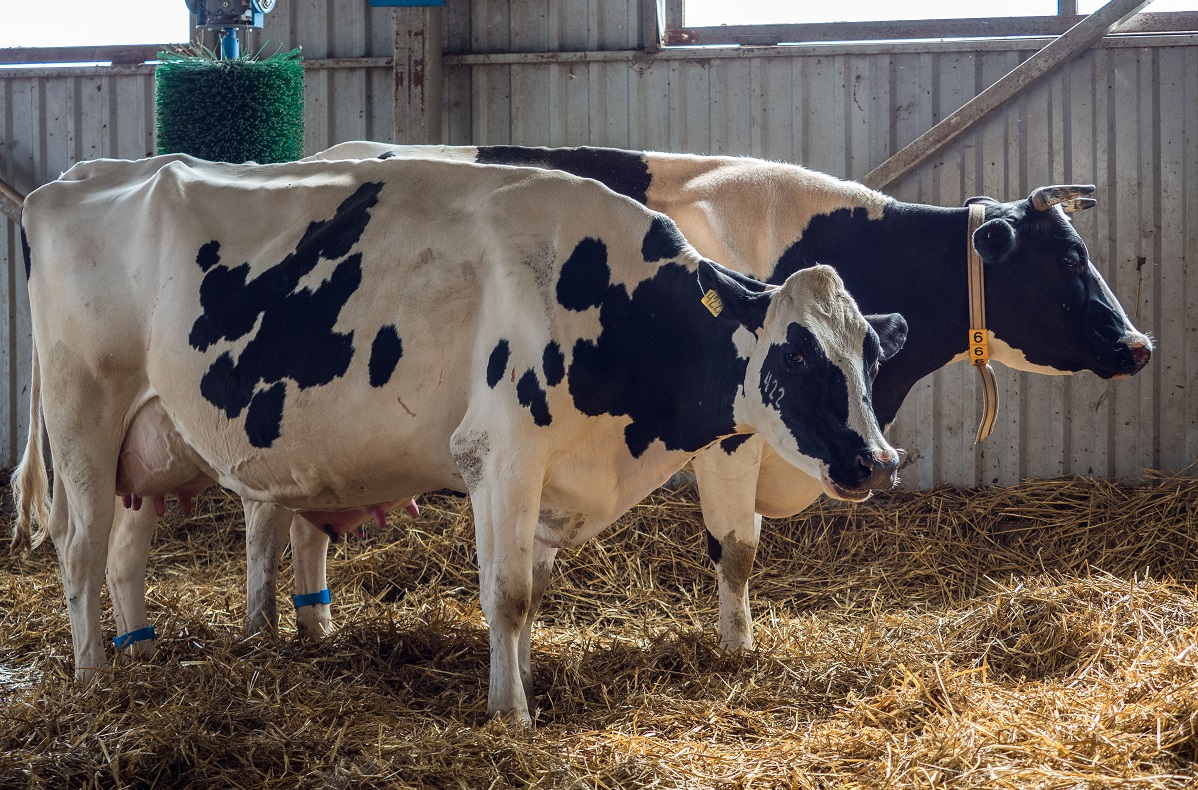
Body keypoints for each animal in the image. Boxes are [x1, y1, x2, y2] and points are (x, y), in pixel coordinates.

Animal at [11, 152, 905, 724]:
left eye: (869, 356)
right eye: (799, 354)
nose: (877, 460)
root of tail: (73, 181)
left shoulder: (549, 480)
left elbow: (531, 593)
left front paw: (527, 681)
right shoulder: (502, 456)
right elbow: (506, 595)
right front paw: (511, 715)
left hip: (149, 445)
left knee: (123, 557)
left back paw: (138, 655)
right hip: (85, 417)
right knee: (79, 552)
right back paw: (94, 676)